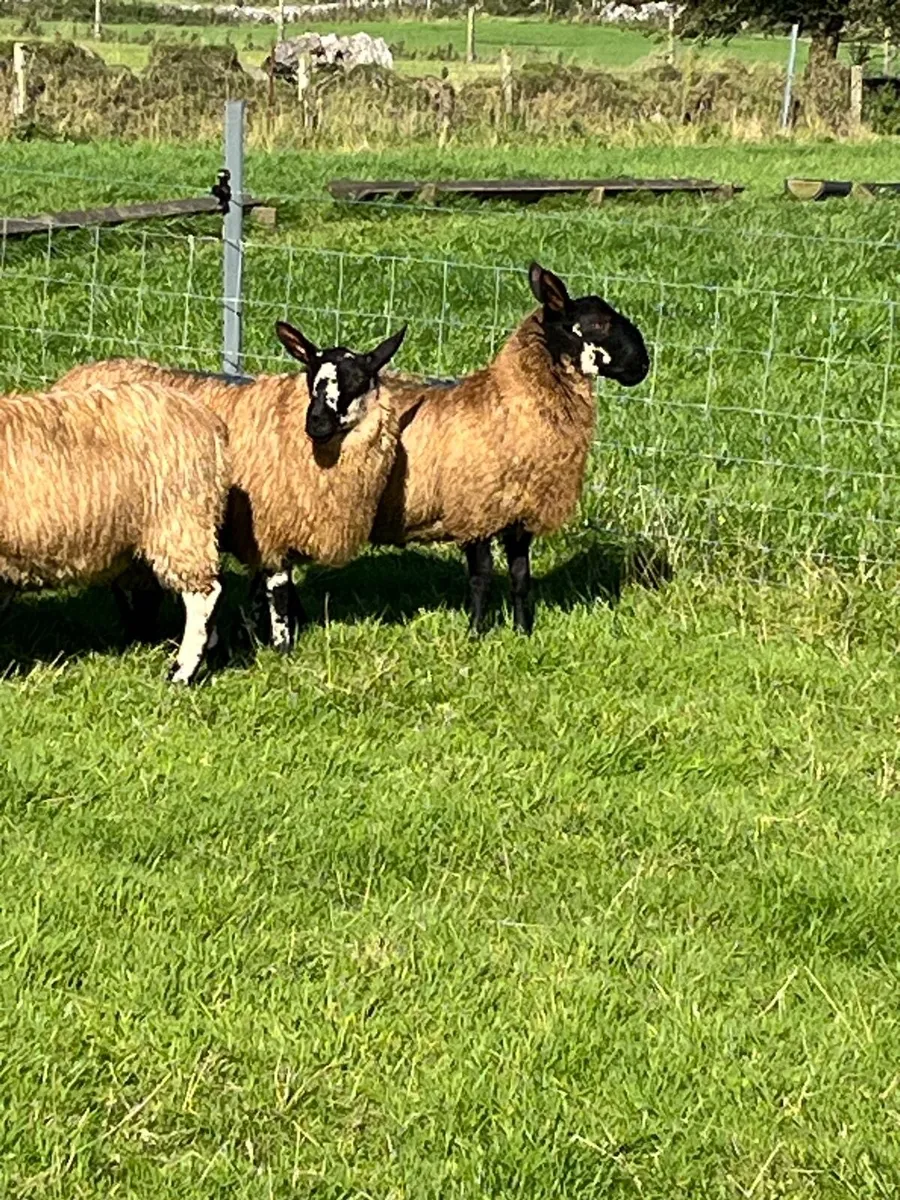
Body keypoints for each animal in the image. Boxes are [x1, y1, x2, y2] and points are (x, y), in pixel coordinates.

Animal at [55, 321, 407, 654]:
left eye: (358, 380)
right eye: (311, 377)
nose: (316, 423)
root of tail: (74, 376)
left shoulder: (265, 533)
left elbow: (262, 590)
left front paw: (250, 632)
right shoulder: (271, 527)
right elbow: (278, 590)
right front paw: (281, 646)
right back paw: (138, 629)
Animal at [364, 262, 650, 634]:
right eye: (599, 324)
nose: (642, 365)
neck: (506, 400)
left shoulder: (519, 516)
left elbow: (520, 577)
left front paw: (522, 630)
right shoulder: (476, 512)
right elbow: (481, 577)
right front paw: (475, 632)